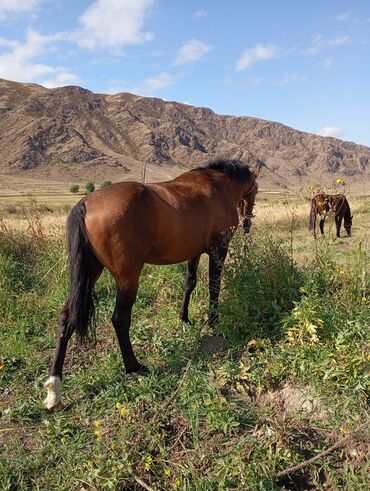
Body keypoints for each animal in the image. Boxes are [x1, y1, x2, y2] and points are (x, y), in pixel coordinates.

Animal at [44, 160, 260, 410]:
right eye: (256, 189)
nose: (247, 223)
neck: (220, 185)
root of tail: (85, 203)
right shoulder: (218, 249)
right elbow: (214, 286)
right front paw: (214, 321)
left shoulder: (194, 252)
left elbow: (190, 283)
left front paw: (184, 318)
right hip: (127, 278)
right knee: (119, 319)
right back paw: (134, 366)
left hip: (89, 274)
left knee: (66, 318)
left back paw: (54, 389)